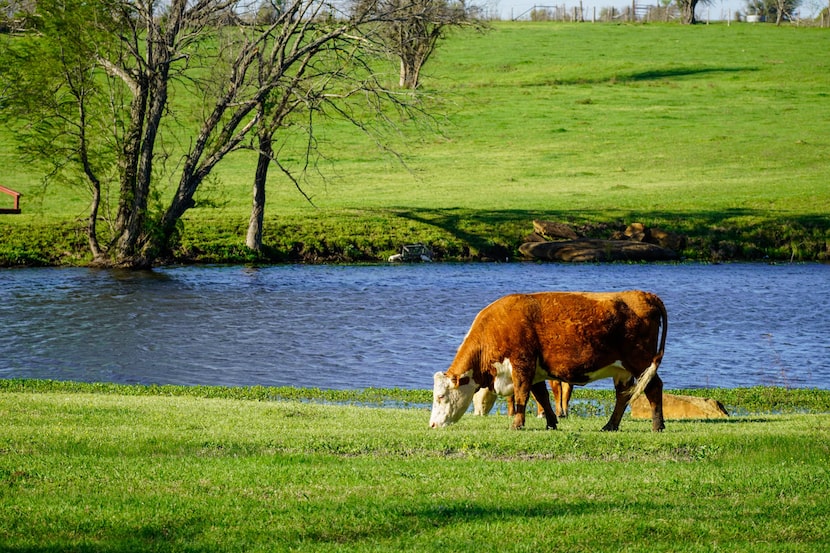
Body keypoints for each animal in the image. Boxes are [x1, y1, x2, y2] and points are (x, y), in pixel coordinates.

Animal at [428, 288, 668, 432]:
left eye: (440, 396)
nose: (432, 424)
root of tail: (643, 294)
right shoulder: (535, 370)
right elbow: (541, 396)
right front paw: (551, 422)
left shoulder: (522, 364)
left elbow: (522, 396)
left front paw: (517, 424)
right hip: (622, 371)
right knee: (623, 395)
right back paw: (610, 425)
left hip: (640, 361)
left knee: (654, 387)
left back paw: (657, 426)